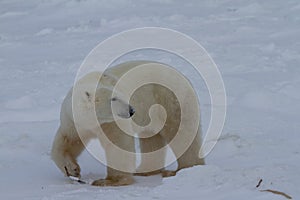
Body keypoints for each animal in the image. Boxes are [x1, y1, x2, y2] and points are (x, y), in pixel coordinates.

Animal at [51, 60, 204, 186]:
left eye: (120, 95)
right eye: (113, 99)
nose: (132, 110)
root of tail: (182, 75)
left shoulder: (111, 123)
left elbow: (117, 146)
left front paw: (109, 181)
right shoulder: (73, 121)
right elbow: (67, 141)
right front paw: (72, 169)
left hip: (171, 100)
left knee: (182, 134)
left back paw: (186, 169)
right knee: (151, 138)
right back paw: (145, 170)